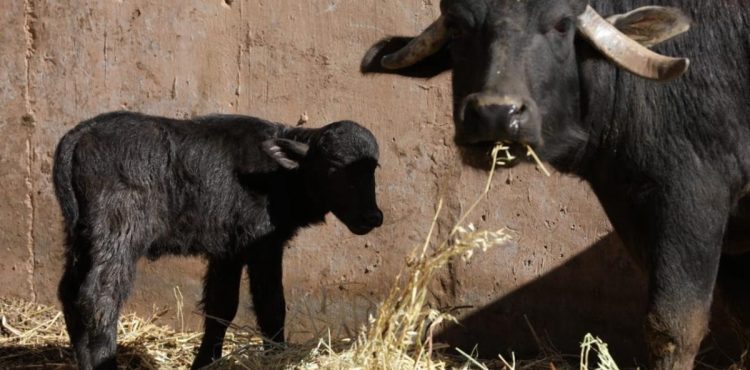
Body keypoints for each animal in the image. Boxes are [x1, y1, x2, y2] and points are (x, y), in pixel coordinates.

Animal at [53, 111, 384, 368]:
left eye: (373, 169)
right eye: (334, 167)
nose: (373, 217)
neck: (280, 176)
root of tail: (79, 135)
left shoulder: (229, 249)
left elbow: (221, 307)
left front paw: (204, 363)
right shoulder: (262, 243)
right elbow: (272, 306)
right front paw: (275, 356)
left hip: (81, 233)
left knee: (70, 292)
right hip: (118, 228)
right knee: (99, 297)